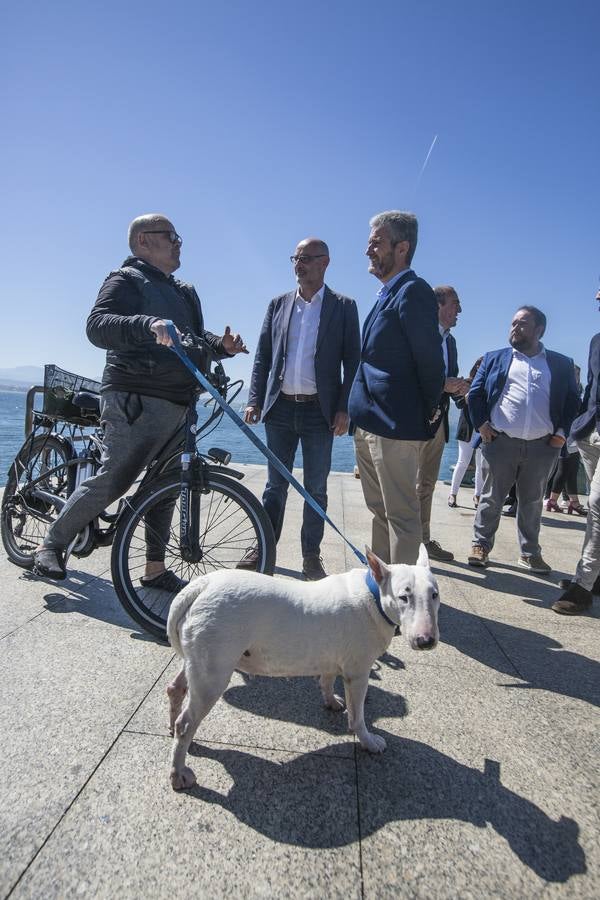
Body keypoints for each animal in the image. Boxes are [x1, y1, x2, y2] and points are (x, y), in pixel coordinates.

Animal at [166, 540, 438, 788]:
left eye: (435, 595)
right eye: (404, 596)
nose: (426, 641)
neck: (374, 596)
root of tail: (201, 586)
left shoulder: (331, 658)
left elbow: (327, 681)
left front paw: (331, 702)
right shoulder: (358, 672)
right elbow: (357, 714)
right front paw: (369, 742)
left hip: (198, 658)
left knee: (176, 688)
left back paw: (175, 732)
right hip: (214, 668)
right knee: (186, 723)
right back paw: (179, 773)